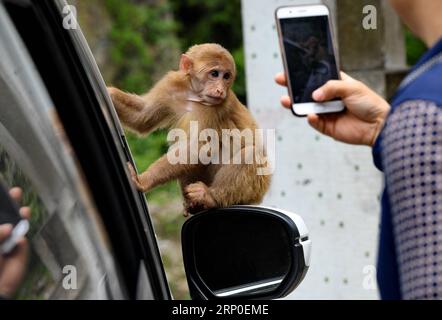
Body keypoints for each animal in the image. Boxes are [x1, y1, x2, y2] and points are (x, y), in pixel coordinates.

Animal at [109, 43, 272, 215]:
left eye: (226, 76)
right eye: (215, 74)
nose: (220, 90)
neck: (194, 95)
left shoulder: (218, 107)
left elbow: (198, 146)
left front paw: (144, 180)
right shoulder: (170, 86)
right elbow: (142, 116)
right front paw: (109, 93)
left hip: (257, 187)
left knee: (250, 153)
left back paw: (210, 198)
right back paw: (194, 205)